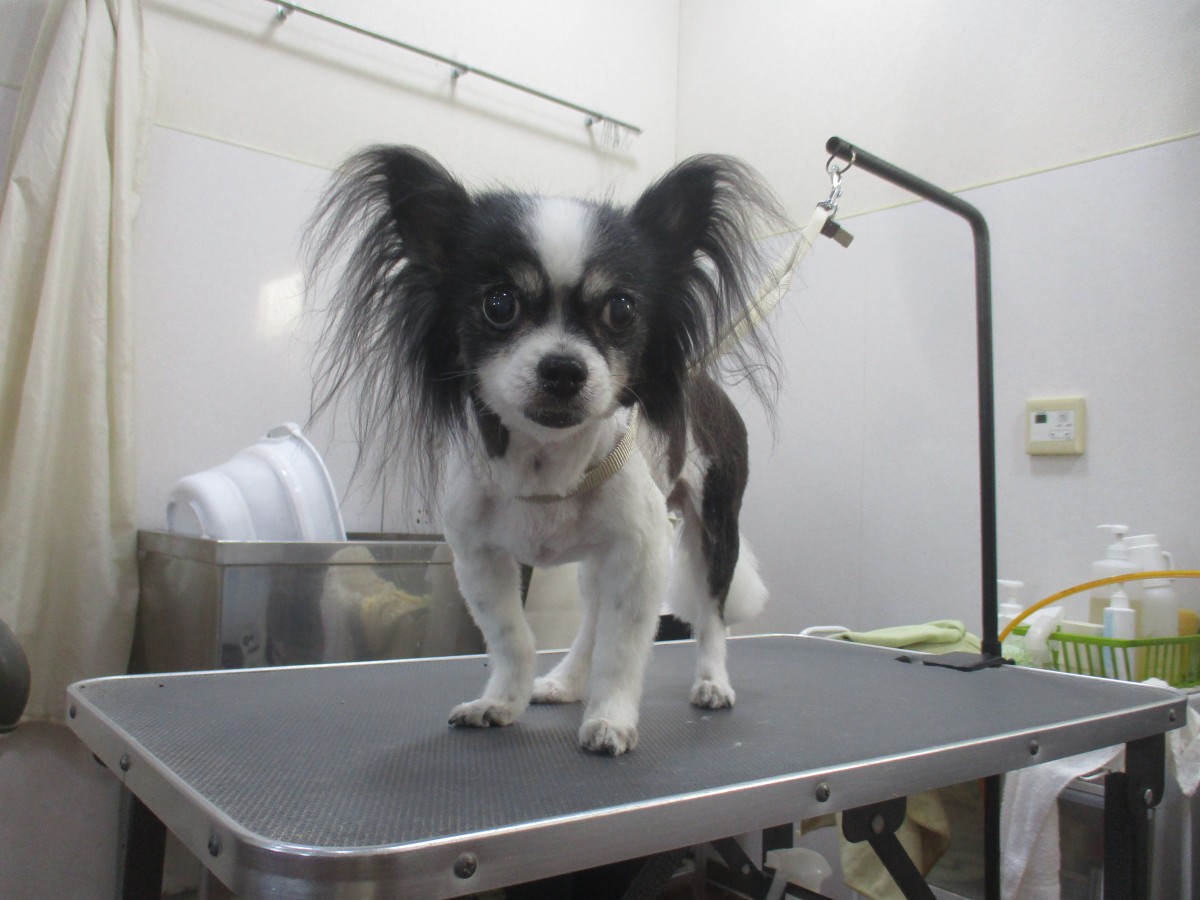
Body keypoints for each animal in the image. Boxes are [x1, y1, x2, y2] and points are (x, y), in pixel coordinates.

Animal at [307, 147, 790, 755]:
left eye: (621, 310)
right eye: (499, 304)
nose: (563, 367)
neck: (546, 463)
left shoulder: (642, 556)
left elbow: (623, 648)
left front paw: (610, 719)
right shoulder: (480, 558)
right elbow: (512, 637)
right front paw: (501, 702)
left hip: (714, 532)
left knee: (711, 618)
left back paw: (712, 682)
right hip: (595, 562)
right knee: (591, 620)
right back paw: (564, 682)